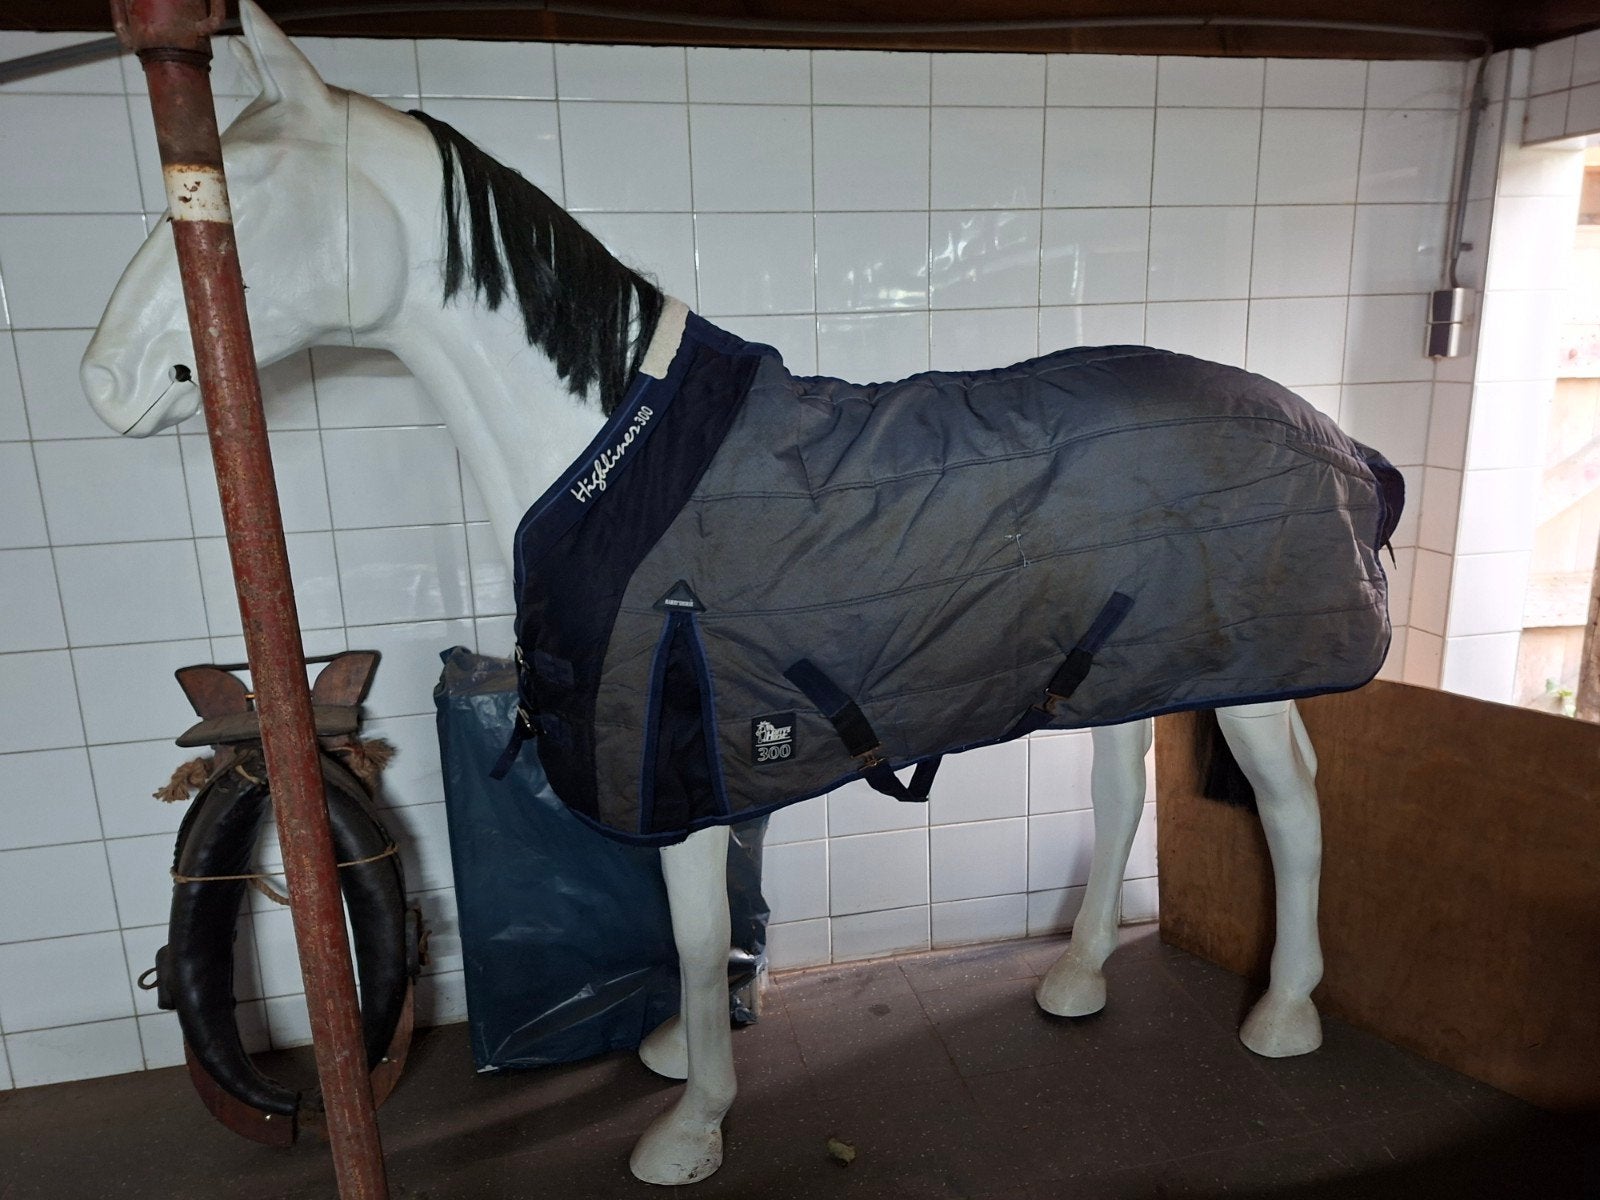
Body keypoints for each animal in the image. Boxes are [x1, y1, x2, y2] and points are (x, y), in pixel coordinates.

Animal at [84, 3, 1397, 1185]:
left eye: (244, 191)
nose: (102, 381)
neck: (613, 457)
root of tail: (1332, 435)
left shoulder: (678, 762)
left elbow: (695, 925)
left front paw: (690, 1126)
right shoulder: (712, 753)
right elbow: (712, 928)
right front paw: (681, 1051)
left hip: (1254, 680)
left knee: (1291, 806)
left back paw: (1284, 1013)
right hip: (1119, 668)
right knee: (1122, 792)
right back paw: (1075, 979)